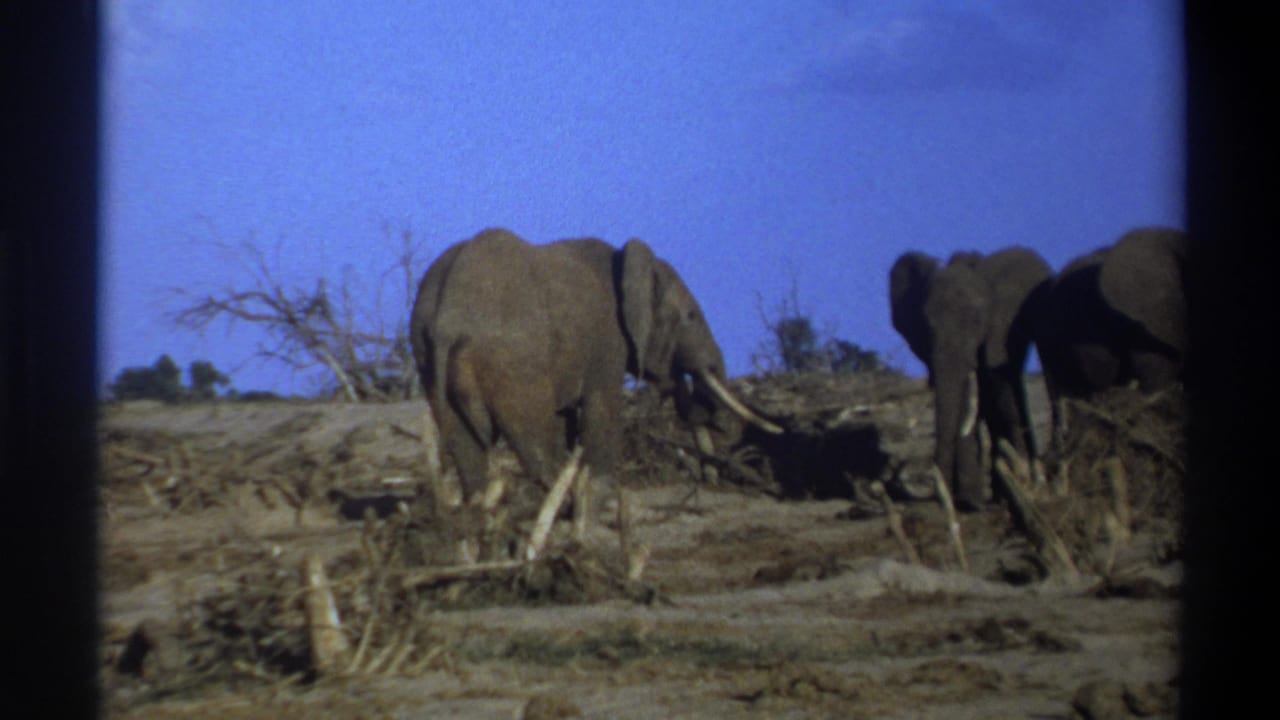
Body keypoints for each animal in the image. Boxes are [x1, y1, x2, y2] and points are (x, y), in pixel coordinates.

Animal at [410, 228, 782, 544]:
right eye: (690, 316)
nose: (716, 425)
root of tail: (446, 319)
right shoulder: (607, 340)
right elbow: (602, 407)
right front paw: (600, 498)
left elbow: (563, 422)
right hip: (512, 362)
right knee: (531, 440)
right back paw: (562, 508)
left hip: (429, 358)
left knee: (466, 446)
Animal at [890, 247, 1052, 511]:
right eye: (927, 322)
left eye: (977, 321)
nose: (943, 498)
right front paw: (969, 501)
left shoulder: (997, 331)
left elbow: (993, 392)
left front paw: (970, 502)